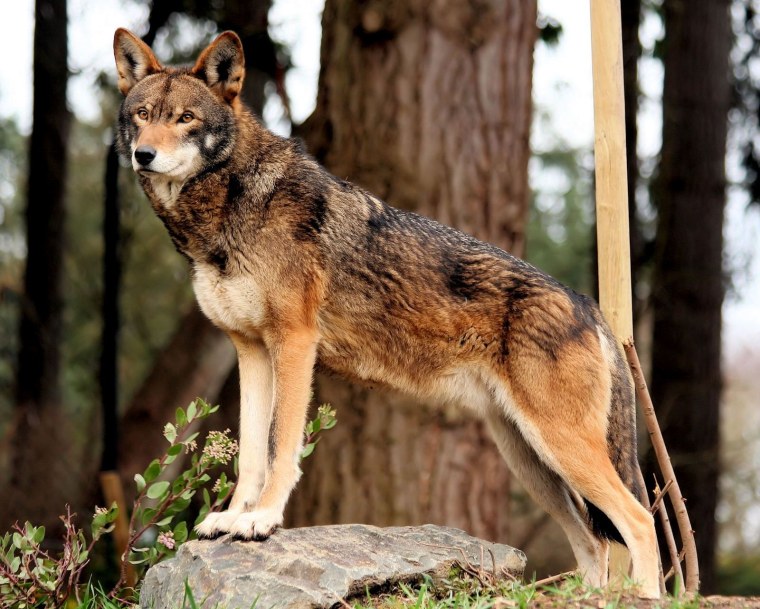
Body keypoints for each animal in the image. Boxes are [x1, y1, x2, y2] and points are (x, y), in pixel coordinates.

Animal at [113, 29, 660, 597]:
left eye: (186, 119)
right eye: (144, 114)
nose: (142, 154)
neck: (232, 204)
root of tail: (588, 306)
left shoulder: (295, 343)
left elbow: (280, 446)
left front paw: (262, 520)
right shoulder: (251, 351)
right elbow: (251, 451)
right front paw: (234, 518)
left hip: (561, 449)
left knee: (639, 522)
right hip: (532, 461)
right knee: (594, 541)